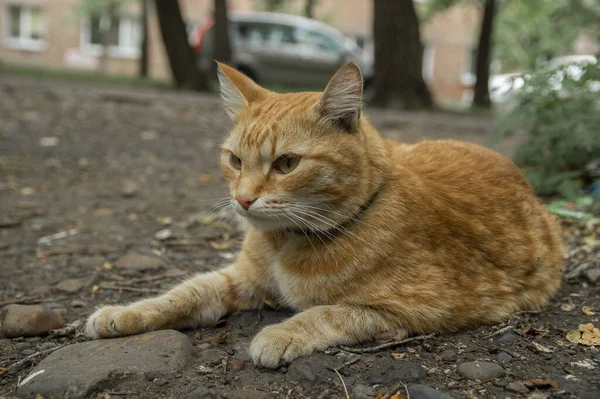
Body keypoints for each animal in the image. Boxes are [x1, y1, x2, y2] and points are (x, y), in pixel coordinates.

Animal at [86, 61, 564, 368]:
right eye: (235, 160)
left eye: (286, 164)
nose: (242, 199)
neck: (284, 243)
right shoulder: (240, 279)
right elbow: (184, 293)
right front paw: (126, 312)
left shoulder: (418, 309)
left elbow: (330, 312)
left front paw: (279, 333)